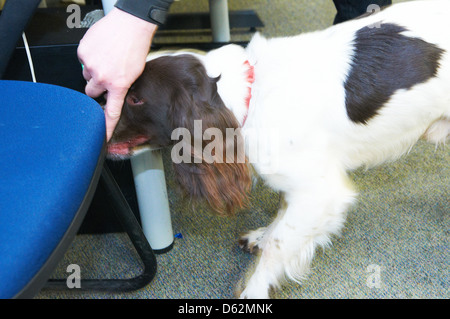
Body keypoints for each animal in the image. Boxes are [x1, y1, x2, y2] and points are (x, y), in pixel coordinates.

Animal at [108, 0, 450, 300]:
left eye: (135, 98)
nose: (98, 112)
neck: (252, 93)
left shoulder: (320, 192)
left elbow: (280, 245)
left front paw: (254, 290)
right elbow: (280, 219)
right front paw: (263, 236)